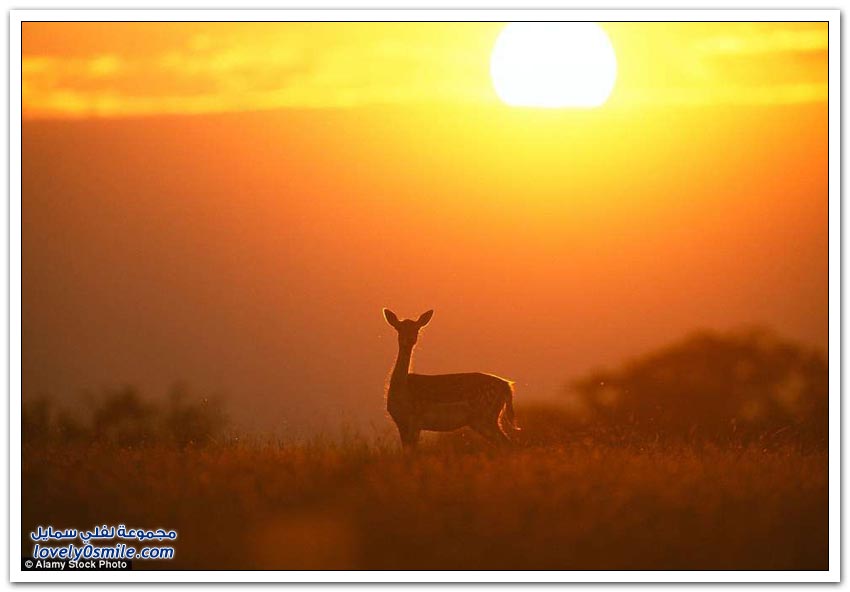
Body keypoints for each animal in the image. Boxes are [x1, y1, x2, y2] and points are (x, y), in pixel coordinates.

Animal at [382, 308, 519, 451]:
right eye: (399, 328)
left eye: (417, 328)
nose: (409, 339)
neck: (402, 393)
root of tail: (506, 386)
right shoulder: (401, 423)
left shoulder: (415, 420)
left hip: (485, 416)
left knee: (508, 443)